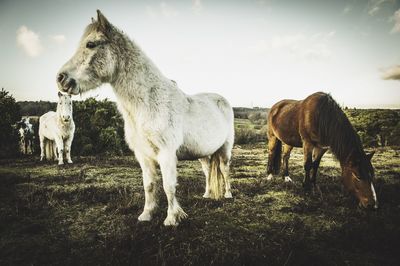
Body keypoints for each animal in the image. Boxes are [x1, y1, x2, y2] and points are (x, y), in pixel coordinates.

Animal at [54, 10, 233, 227]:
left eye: (91, 44)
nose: (60, 78)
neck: (148, 103)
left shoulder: (166, 154)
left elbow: (168, 186)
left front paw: (172, 218)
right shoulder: (143, 155)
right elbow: (149, 185)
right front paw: (146, 215)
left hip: (225, 149)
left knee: (224, 170)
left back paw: (228, 195)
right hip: (204, 154)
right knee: (208, 171)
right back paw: (207, 195)